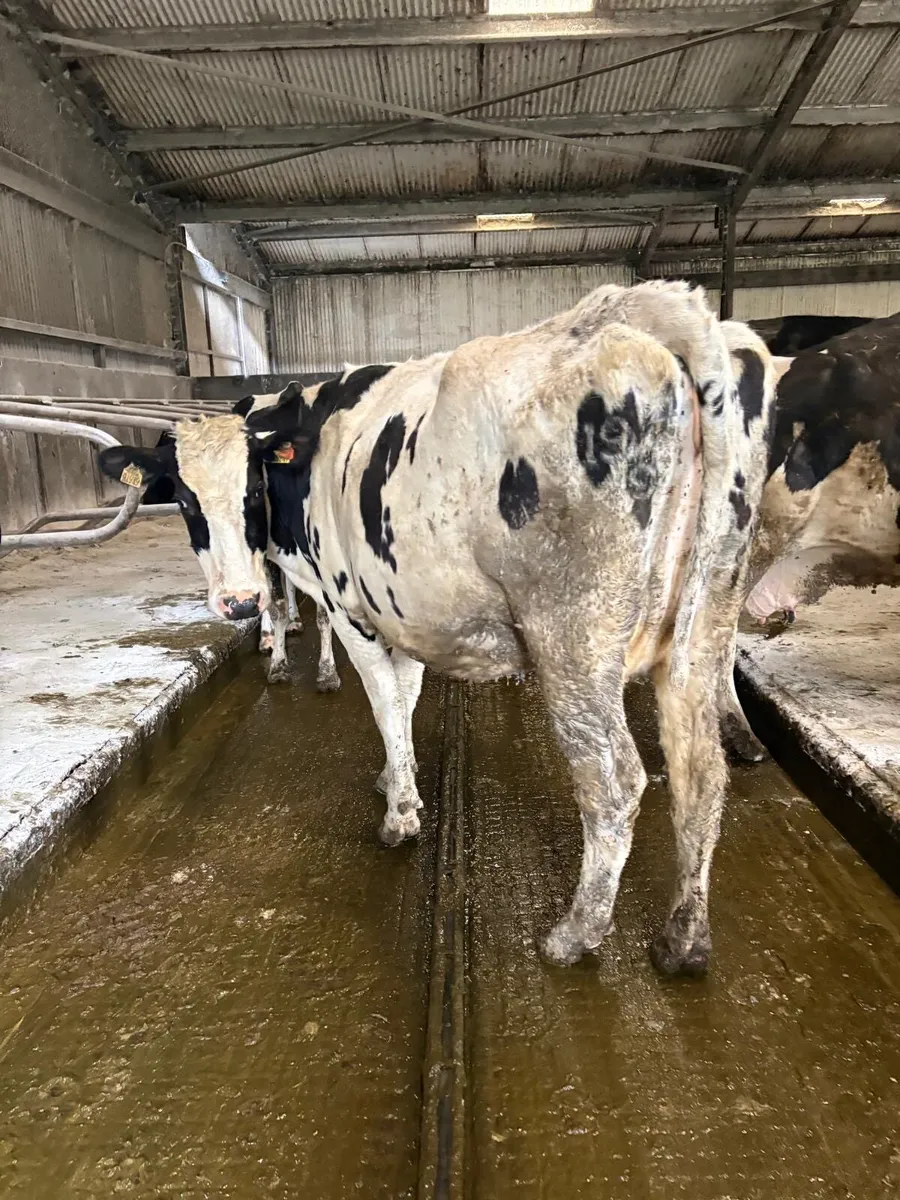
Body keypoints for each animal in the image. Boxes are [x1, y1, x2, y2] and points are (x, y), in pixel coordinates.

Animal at [98, 280, 776, 977]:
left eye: (250, 493)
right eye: (184, 499)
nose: (237, 602)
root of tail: (638, 309)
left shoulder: (351, 609)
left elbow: (384, 702)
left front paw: (399, 816)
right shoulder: (404, 609)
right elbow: (406, 698)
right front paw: (398, 779)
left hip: (574, 641)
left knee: (614, 781)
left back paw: (575, 933)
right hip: (704, 625)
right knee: (700, 774)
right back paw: (684, 938)